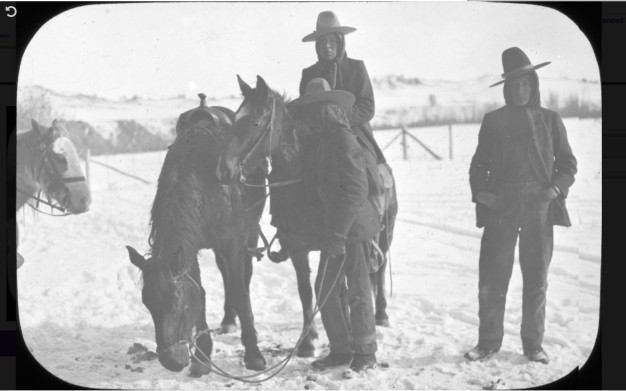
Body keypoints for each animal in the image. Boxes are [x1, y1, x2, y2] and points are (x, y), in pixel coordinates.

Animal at [125, 99, 266, 378]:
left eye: (175, 303)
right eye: (147, 303)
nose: (170, 361)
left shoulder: (233, 244)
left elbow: (240, 292)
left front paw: (254, 353)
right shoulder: (192, 248)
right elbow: (200, 291)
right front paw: (202, 357)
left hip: (251, 232)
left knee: (242, 277)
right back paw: (227, 320)